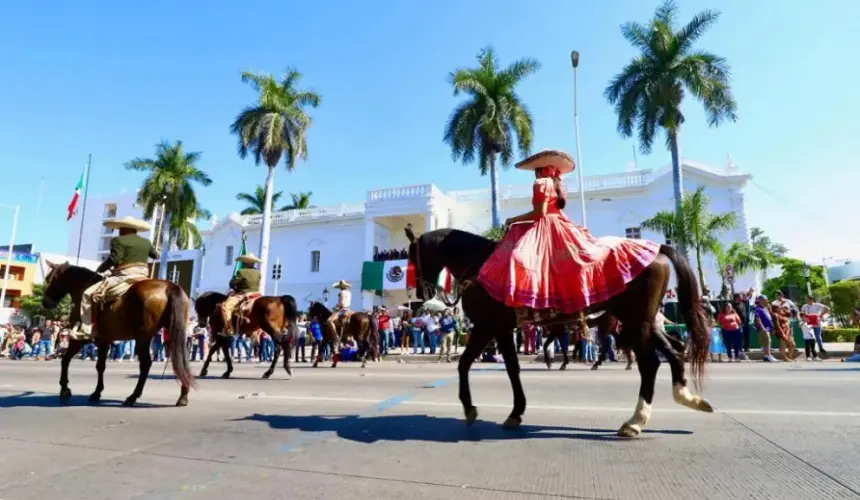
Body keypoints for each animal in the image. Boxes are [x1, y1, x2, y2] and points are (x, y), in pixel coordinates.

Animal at [42, 262, 197, 406]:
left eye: (49, 278)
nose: (45, 303)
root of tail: (170, 286)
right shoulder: (104, 340)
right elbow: (100, 366)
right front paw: (97, 392)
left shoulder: (80, 338)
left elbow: (66, 360)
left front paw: (65, 389)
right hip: (175, 333)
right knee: (181, 359)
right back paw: (183, 395)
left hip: (143, 338)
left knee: (146, 363)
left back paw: (133, 396)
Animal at [406, 227, 716, 438]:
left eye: (409, 256)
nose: (421, 294)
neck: (480, 264)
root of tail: (659, 249)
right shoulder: (503, 329)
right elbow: (512, 368)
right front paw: (516, 412)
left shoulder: (487, 326)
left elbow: (464, 363)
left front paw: (470, 409)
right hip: (645, 321)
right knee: (675, 351)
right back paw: (687, 397)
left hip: (633, 321)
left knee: (649, 363)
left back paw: (636, 420)